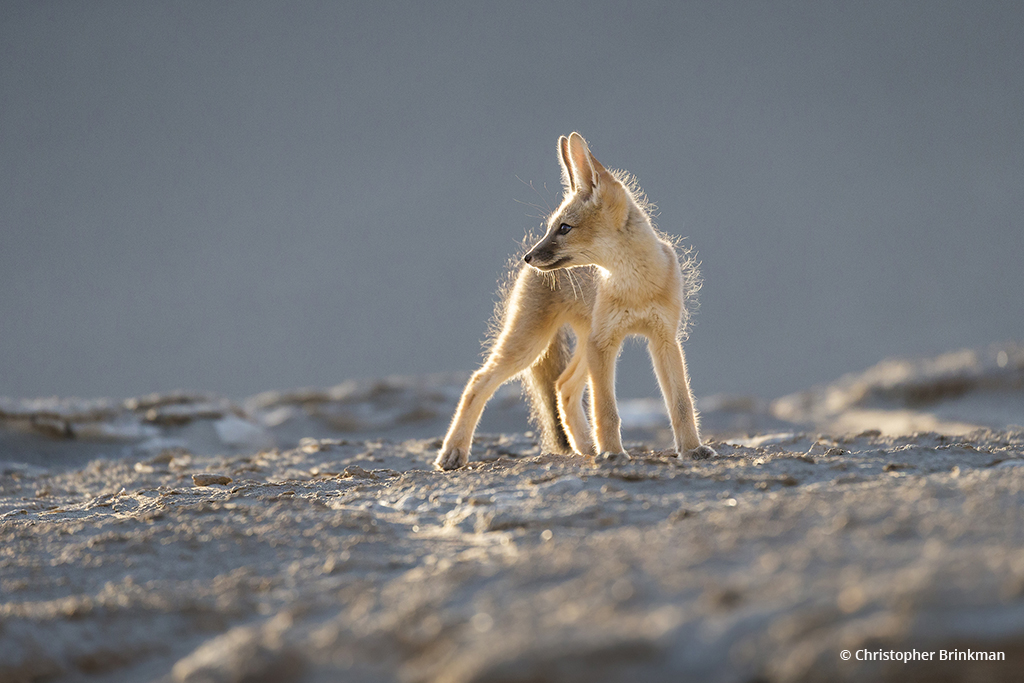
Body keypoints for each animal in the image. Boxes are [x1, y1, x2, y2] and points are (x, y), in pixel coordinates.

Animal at [436, 133, 716, 473]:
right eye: (551, 227)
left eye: (564, 228)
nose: (528, 257)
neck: (636, 287)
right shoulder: (604, 343)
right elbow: (605, 409)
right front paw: (612, 454)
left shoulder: (664, 339)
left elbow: (681, 404)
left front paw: (692, 449)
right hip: (534, 345)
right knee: (479, 382)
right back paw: (453, 451)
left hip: (582, 346)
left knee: (563, 387)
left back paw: (586, 447)